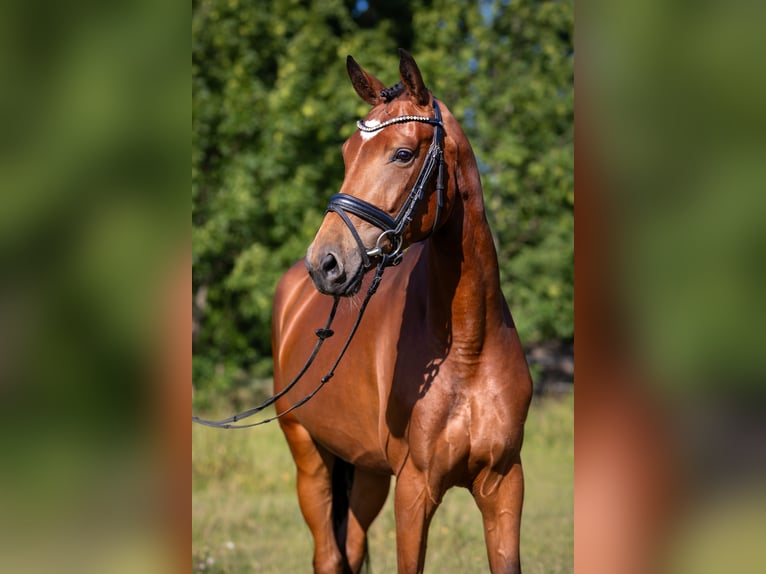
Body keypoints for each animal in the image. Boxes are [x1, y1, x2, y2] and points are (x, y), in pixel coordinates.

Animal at [271, 50, 533, 574]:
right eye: (347, 153)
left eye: (403, 154)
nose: (325, 263)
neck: (469, 348)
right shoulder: (415, 488)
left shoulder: (503, 484)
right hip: (309, 457)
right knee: (328, 556)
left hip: (368, 471)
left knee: (350, 547)